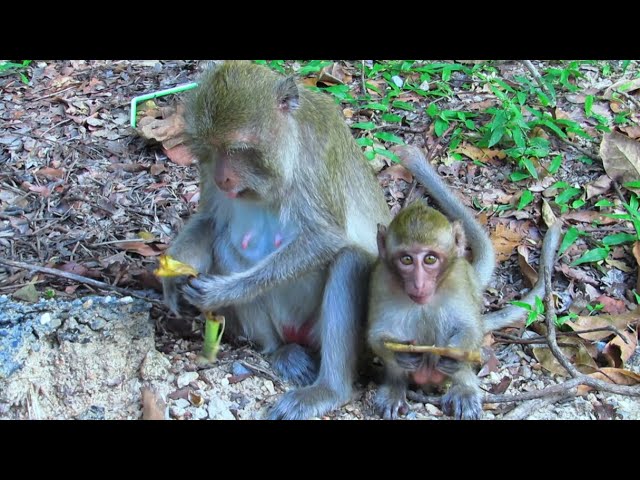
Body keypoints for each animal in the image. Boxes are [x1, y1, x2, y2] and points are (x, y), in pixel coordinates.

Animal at [162, 61, 390, 420]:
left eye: (237, 150)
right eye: (210, 149)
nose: (222, 178)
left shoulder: (317, 156)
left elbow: (326, 237)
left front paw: (222, 291)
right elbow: (211, 220)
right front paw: (173, 277)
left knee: (349, 260)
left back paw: (329, 389)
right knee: (224, 245)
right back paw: (281, 351)